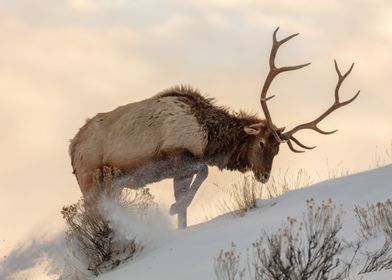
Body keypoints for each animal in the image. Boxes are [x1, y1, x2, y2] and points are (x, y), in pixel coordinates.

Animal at [69, 28, 360, 229]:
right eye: (262, 143)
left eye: (278, 150)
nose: (264, 176)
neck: (209, 139)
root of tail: (72, 147)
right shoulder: (175, 155)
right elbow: (204, 172)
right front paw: (173, 207)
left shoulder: (180, 172)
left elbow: (186, 206)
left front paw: (178, 214)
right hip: (89, 180)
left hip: (108, 185)